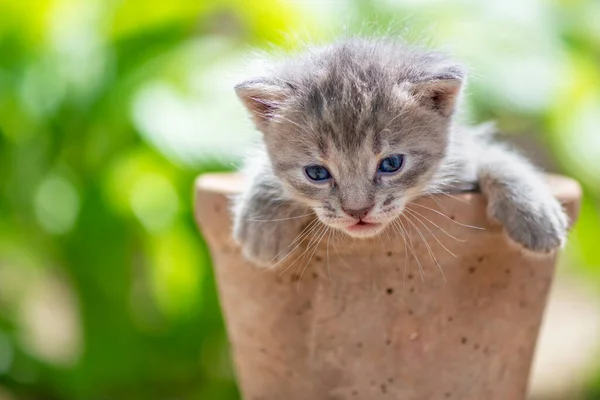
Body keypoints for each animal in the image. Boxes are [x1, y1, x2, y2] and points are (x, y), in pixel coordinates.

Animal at [230, 38, 568, 268]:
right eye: (317, 173)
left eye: (391, 164)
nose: (357, 211)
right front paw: (260, 224)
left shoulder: (465, 151)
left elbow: (497, 157)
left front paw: (535, 213)